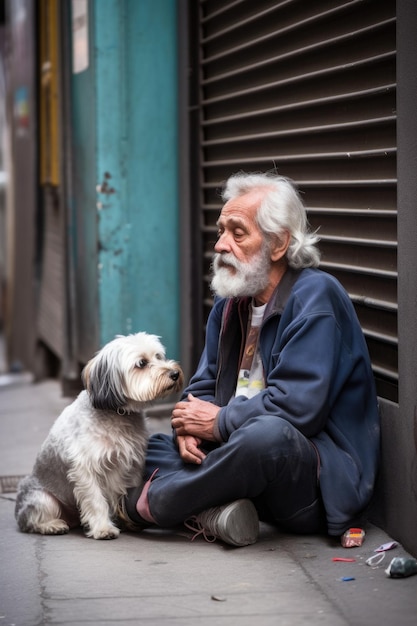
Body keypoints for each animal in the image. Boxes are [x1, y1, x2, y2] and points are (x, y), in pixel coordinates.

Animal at [14, 332, 182, 536]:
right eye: (141, 363)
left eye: (159, 356)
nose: (174, 374)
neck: (117, 412)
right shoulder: (86, 469)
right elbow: (96, 501)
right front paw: (103, 528)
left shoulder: (132, 465)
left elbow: (126, 493)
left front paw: (125, 520)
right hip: (44, 499)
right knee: (31, 520)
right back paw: (51, 525)